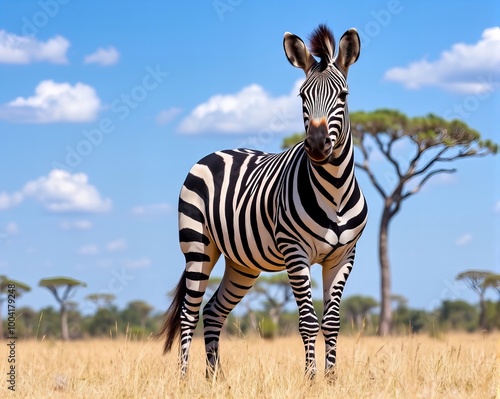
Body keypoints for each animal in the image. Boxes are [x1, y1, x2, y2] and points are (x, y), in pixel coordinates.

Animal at [158, 23, 370, 380]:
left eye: (343, 96)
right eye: (302, 96)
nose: (316, 145)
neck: (335, 191)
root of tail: (215, 153)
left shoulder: (343, 257)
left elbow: (332, 322)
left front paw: (330, 380)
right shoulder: (295, 253)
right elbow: (308, 322)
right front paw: (311, 379)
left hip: (241, 263)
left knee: (213, 311)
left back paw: (214, 379)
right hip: (198, 246)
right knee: (190, 312)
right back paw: (184, 379)